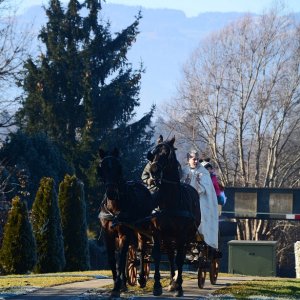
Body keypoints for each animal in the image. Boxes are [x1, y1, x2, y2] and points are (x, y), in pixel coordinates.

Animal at [98, 146, 154, 296]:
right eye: (102, 167)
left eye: (118, 167)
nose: (111, 192)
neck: (114, 207)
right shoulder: (108, 235)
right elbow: (113, 259)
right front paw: (117, 284)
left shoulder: (125, 233)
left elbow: (122, 258)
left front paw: (118, 286)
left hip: (141, 228)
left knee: (141, 249)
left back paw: (141, 278)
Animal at [149, 137, 200, 298]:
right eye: (153, 153)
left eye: (167, 154)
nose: (153, 170)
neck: (169, 202)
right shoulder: (157, 233)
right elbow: (158, 255)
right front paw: (157, 286)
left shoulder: (182, 235)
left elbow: (180, 259)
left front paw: (179, 287)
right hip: (168, 237)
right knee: (171, 255)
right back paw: (172, 282)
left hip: (187, 236)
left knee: (180, 256)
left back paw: (177, 282)